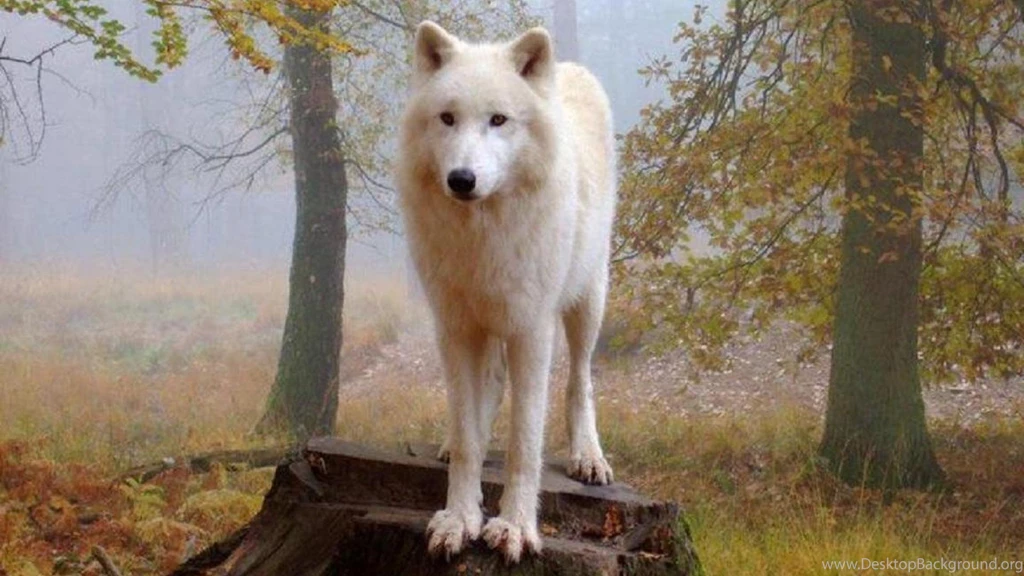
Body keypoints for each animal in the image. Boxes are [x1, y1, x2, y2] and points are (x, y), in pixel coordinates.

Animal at [396, 21, 617, 563]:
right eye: (447, 118)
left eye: (498, 120)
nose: (462, 179)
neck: (483, 237)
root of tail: (571, 69)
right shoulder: (454, 328)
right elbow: (470, 441)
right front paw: (460, 518)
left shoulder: (531, 332)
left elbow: (525, 442)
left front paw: (514, 527)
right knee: (488, 389)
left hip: (587, 302)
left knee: (581, 380)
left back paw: (588, 457)